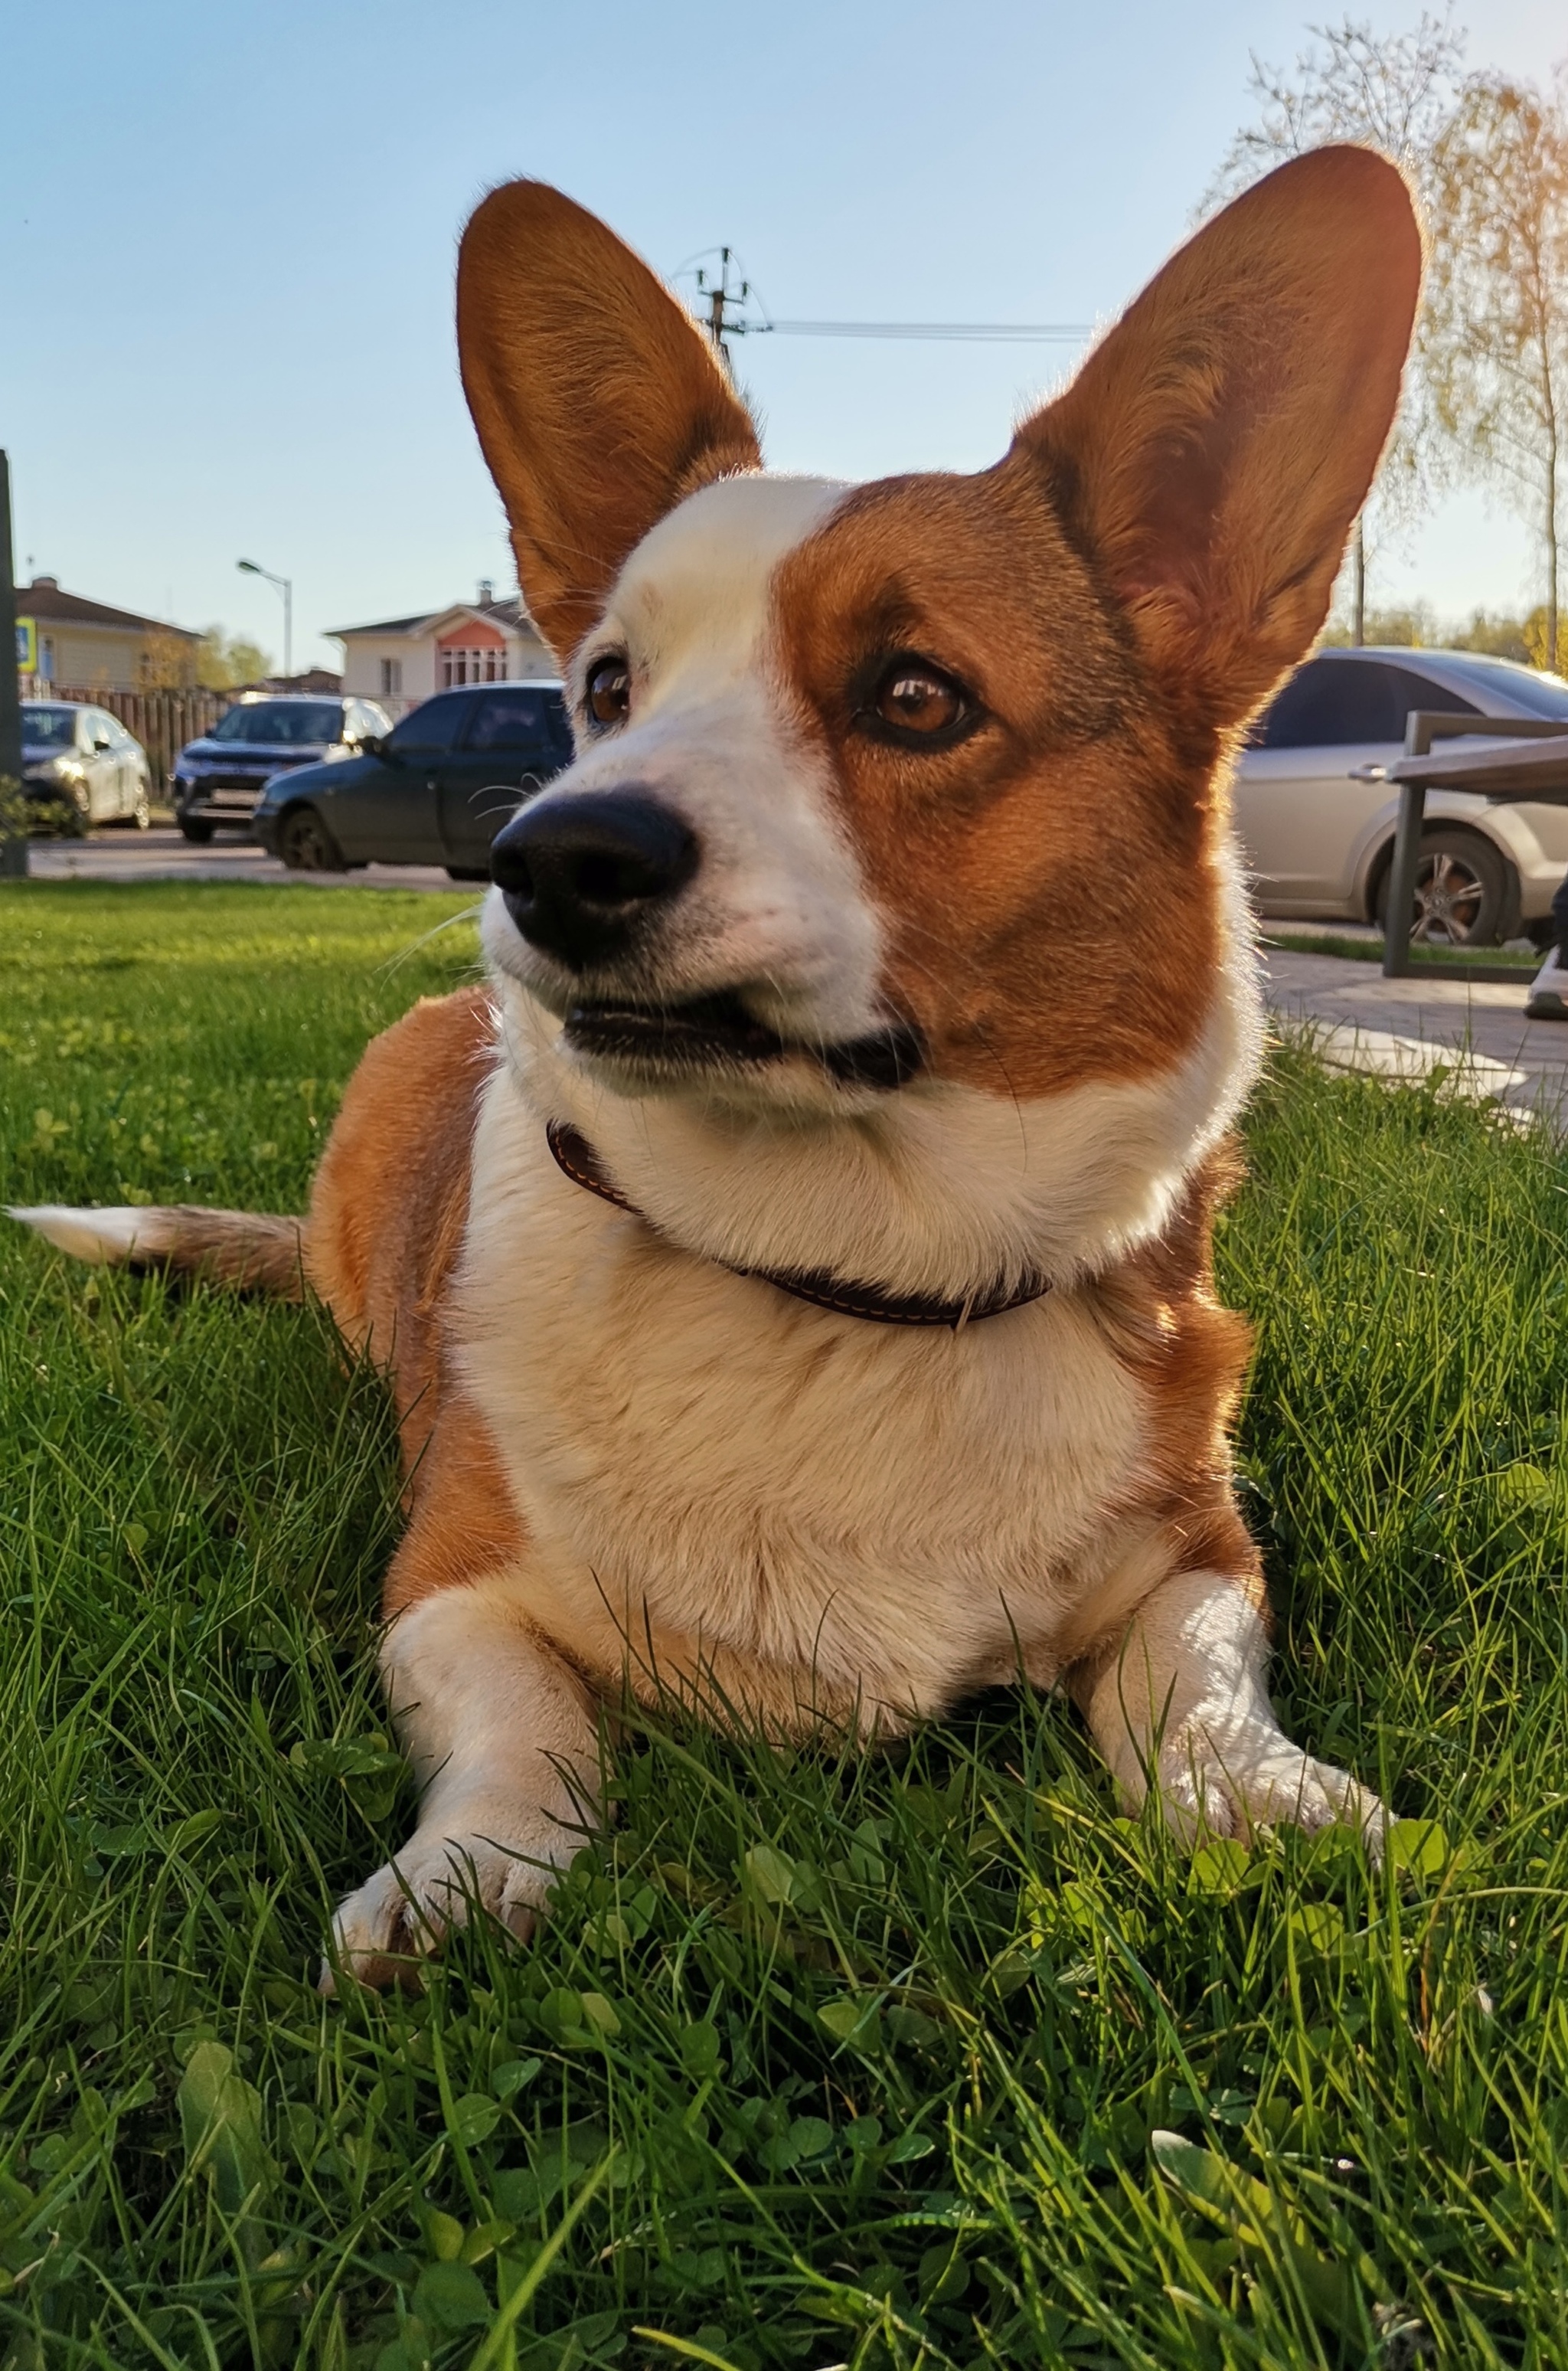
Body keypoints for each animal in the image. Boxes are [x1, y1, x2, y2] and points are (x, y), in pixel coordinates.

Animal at [11, 148, 1423, 1982]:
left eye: (914, 696)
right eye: (609, 685)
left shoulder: (1201, 1555)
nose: (547, 857)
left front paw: (1267, 1797)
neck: (841, 1274)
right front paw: (461, 1875)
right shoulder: (449, 1588)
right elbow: (526, 1729)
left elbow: (1195, 1691)